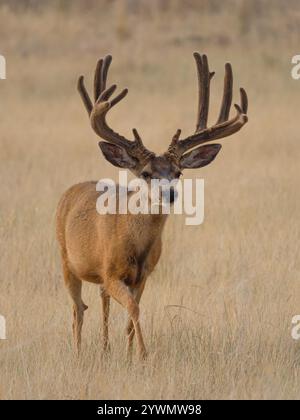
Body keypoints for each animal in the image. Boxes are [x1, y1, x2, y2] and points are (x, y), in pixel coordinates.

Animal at [56, 53, 248, 360]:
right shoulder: (112, 273)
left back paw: (105, 348)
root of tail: (72, 190)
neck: (136, 245)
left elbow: (130, 318)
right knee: (78, 310)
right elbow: (134, 310)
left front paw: (129, 355)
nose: (169, 193)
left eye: (178, 172)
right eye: (146, 173)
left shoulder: (143, 276)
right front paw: (144, 356)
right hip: (66, 259)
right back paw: (77, 352)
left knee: (100, 302)